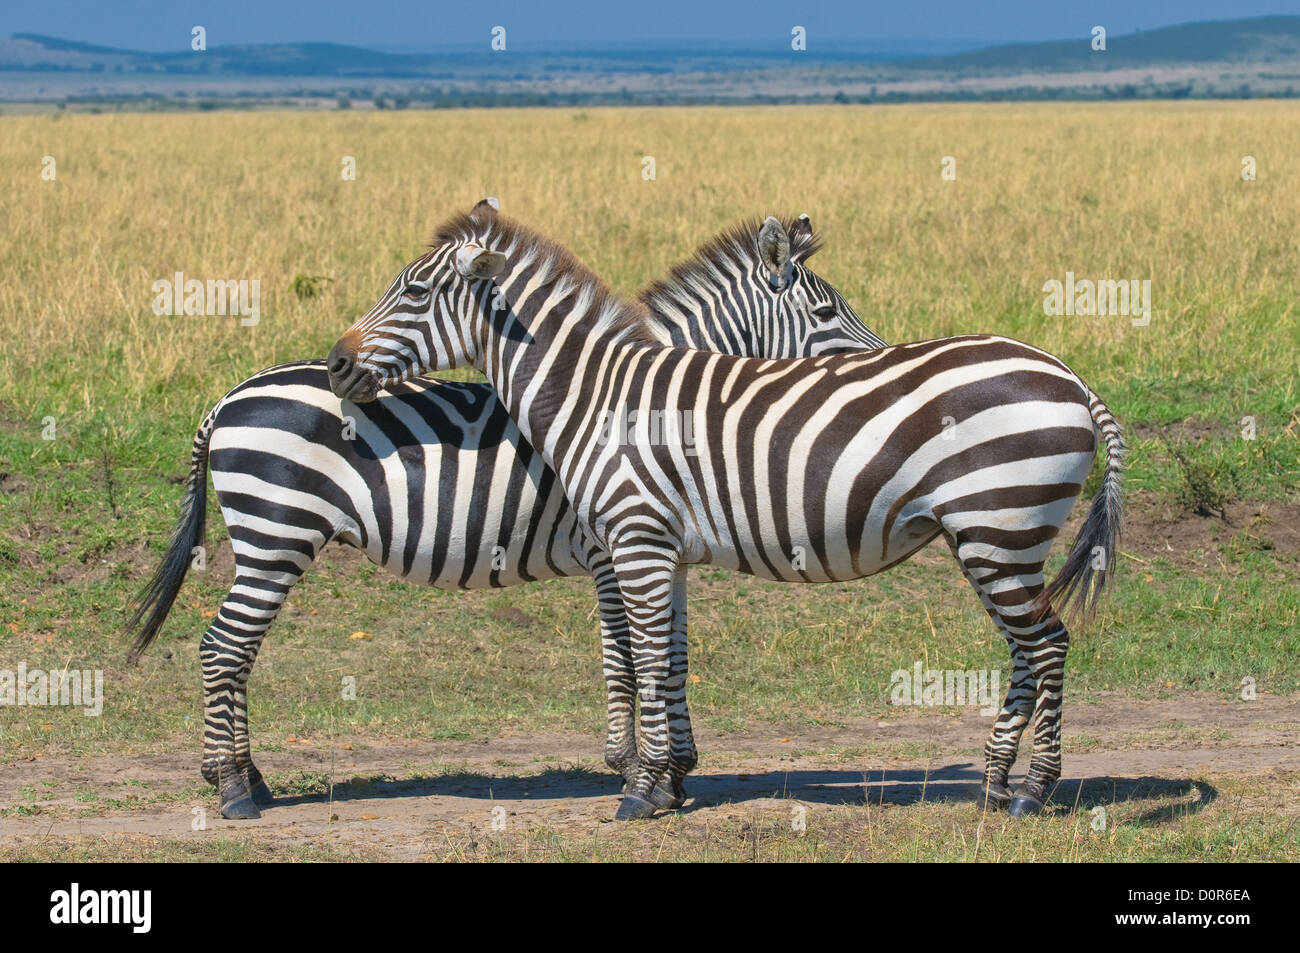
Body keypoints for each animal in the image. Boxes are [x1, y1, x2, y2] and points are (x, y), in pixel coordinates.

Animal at [129, 208, 883, 816]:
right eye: (826, 314)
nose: (881, 365)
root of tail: (228, 397)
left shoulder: (666, 549)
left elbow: (672, 654)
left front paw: (678, 768)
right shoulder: (611, 551)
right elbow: (625, 658)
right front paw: (635, 769)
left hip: (272, 541)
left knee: (235, 651)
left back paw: (246, 776)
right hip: (275, 536)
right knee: (223, 647)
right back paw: (232, 787)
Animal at [327, 198, 1128, 816]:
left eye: (416, 293)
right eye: (828, 308)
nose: (336, 364)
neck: (597, 396)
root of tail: (1070, 376)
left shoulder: (633, 542)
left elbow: (643, 658)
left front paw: (642, 789)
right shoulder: (659, 550)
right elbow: (666, 658)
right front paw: (668, 778)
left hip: (1000, 526)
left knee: (1047, 644)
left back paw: (1033, 791)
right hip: (992, 536)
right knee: (1027, 647)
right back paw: (993, 784)